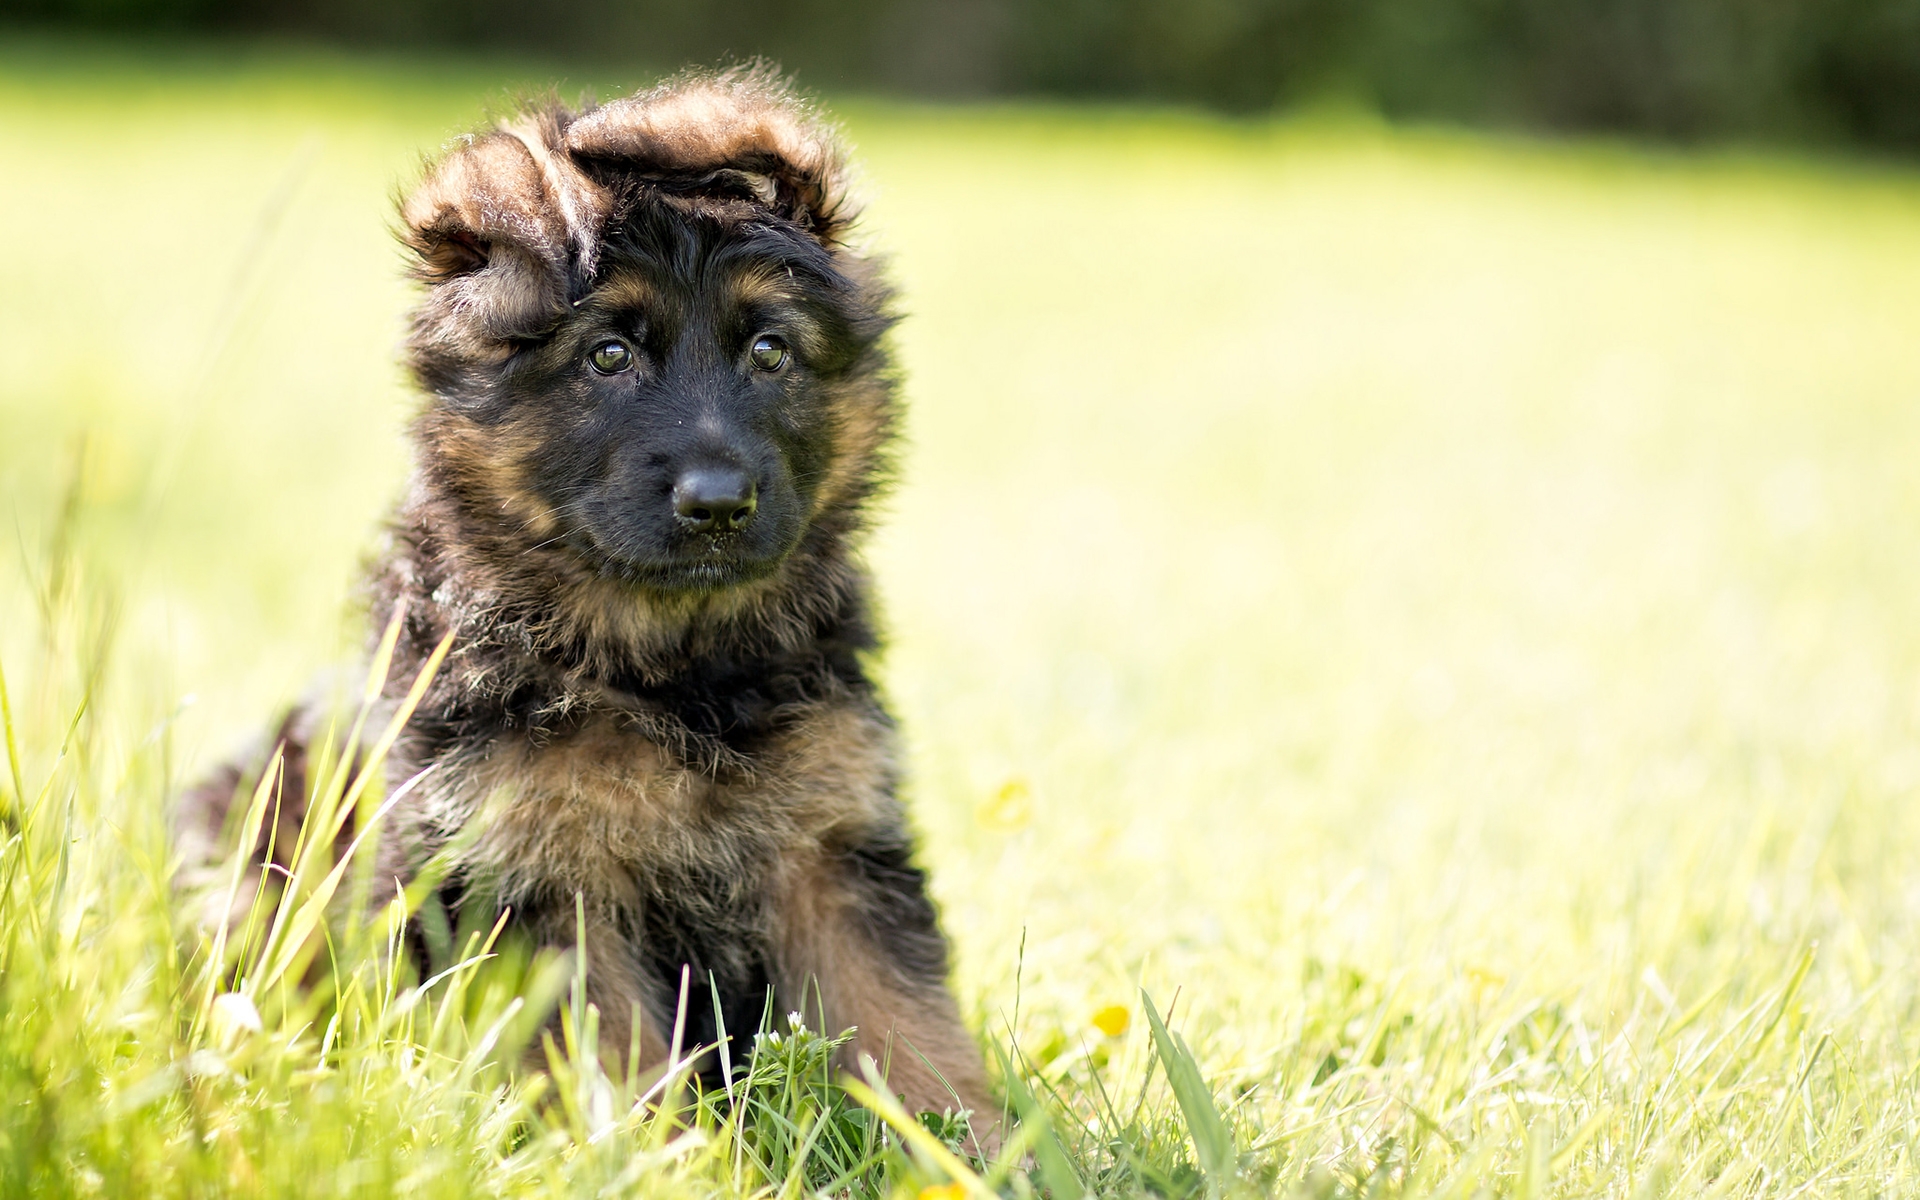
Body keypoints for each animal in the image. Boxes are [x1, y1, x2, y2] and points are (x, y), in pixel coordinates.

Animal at [178, 67, 990, 1121]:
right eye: (609, 356)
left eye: (769, 351)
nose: (719, 503)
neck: (675, 671)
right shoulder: (528, 874)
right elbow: (612, 1064)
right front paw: (649, 1151)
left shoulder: (833, 841)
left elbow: (904, 1025)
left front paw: (979, 1145)